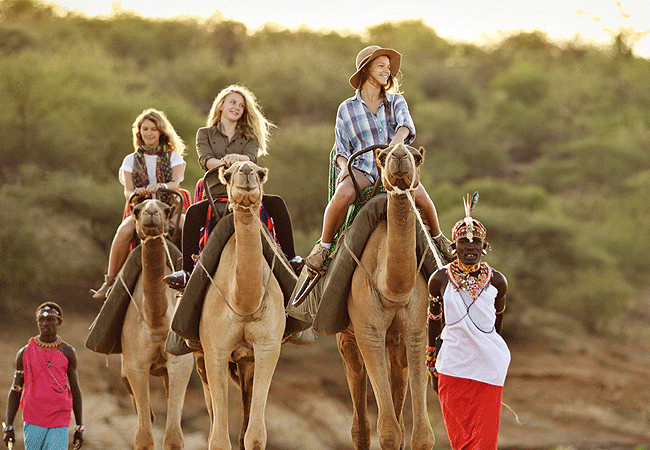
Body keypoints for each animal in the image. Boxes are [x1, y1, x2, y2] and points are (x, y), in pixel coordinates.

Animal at [120, 200, 194, 450]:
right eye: (136, 209)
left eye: (166, 209)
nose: (151, 211)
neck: (157, 325)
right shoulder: (135, 366)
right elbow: (143, 437)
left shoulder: (180, 364)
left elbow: (174, 437)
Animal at [196, 162, 284, 450]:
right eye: (228, 172)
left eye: (260, 172)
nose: (245, 170)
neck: (243, 304)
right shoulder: (215, 351)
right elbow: (218, 439)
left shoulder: (268, 348)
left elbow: (255, 434)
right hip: (201, 358)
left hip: (247, 363)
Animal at [334, 144, 436, 450]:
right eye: (382, 155)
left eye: (417, 156)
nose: (400, 155)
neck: (393, 289)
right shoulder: (369, 332)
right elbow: (388, 431)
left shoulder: (416, 331)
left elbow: (421, 434)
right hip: (347, 338)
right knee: (360, 422)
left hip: (397, 344)